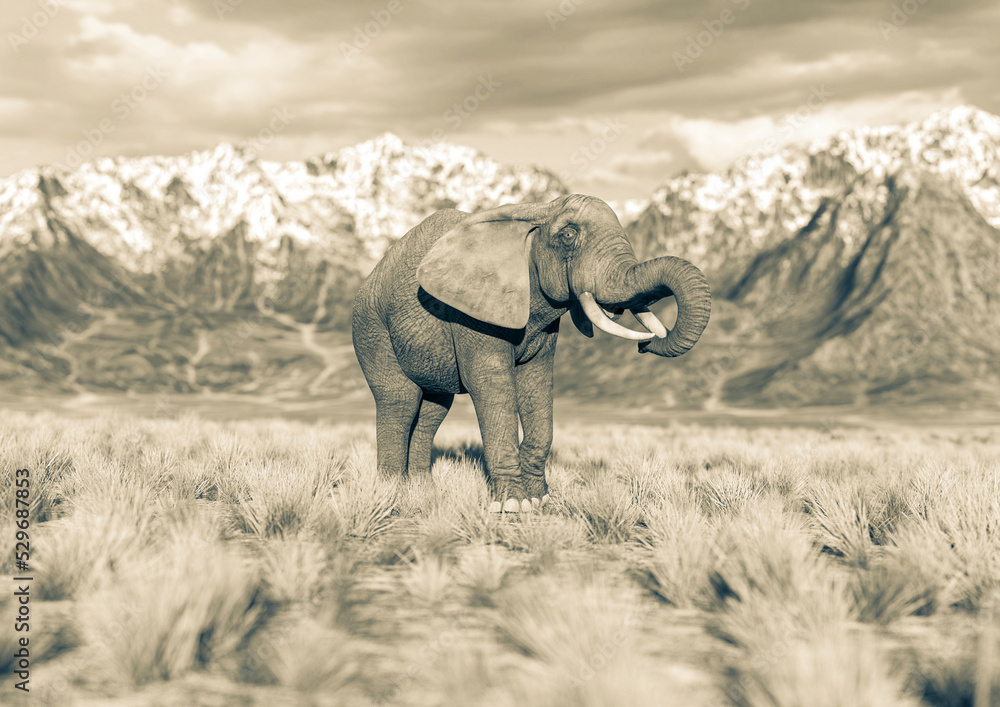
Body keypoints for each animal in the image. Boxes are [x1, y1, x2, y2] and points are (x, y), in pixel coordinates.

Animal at [351, 194, 711, 512]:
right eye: (568, 235)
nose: (644, 344)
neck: (538, 210)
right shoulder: (472, 309)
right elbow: (491, 382)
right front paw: (512, 506)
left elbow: (537, 383)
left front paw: (539, 501)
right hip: (371, 326)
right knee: (401, 400)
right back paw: (394, 495)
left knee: (431, 411)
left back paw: (424, 491)